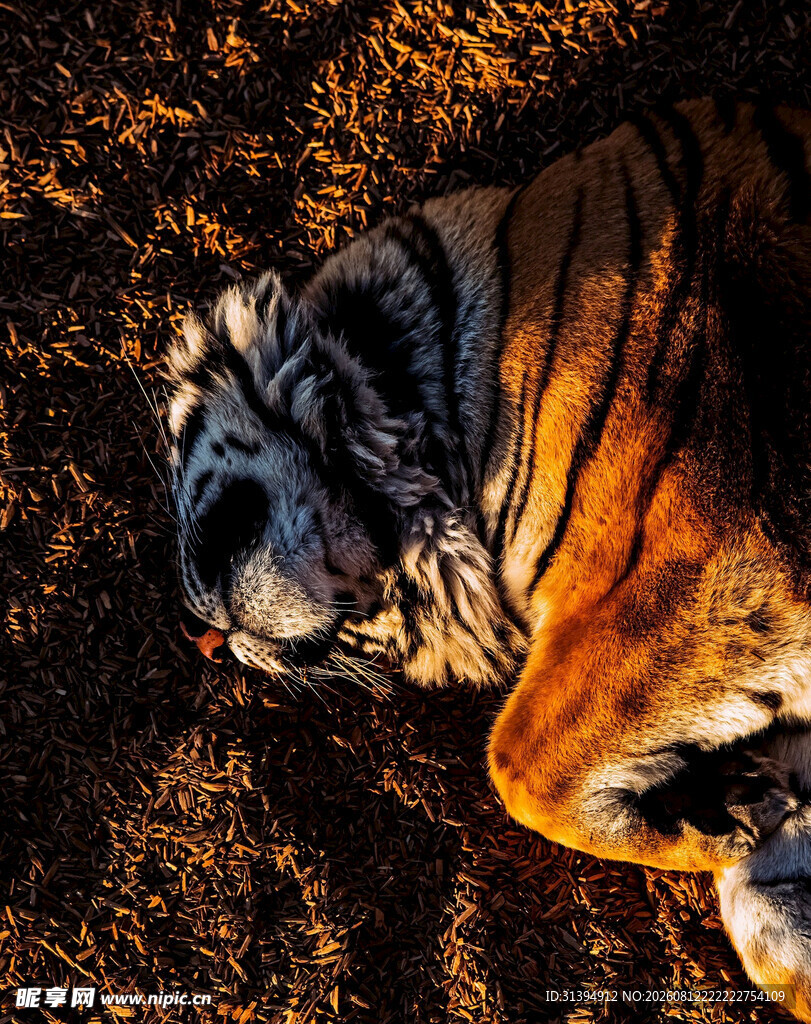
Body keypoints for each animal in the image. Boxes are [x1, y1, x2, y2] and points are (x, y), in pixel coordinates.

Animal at [166, 99, 811, 1016]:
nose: (206, 642)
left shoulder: (709, 558)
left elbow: (518, 760)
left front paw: (710, 828)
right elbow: (766, 895)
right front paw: (737, 815)